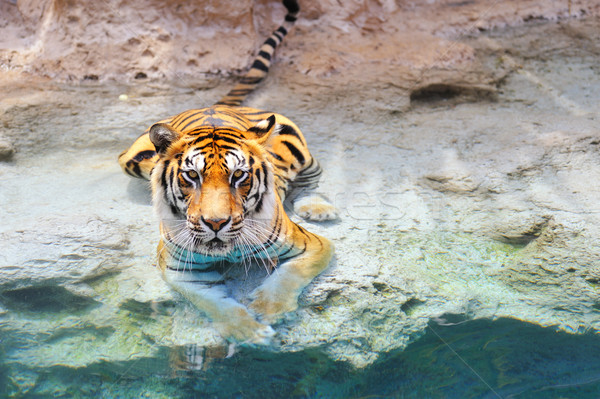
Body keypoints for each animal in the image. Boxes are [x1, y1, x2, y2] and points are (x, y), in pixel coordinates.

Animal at [119, 0, 336, 344]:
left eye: (239, 176)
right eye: (192, 176)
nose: (216, 223)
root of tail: (214, 105)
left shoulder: (313, 246)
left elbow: (289, 274)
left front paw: (269, 309)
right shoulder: (179, 270)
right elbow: (216, 304)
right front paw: (249, 332)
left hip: (295, 141)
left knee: (311, 180)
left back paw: (318, 207)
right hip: (131, 158)